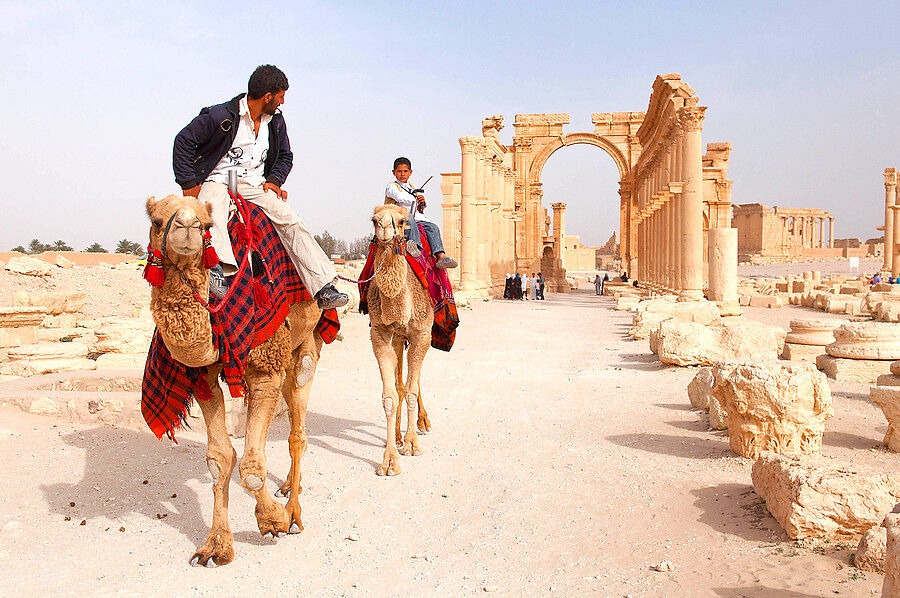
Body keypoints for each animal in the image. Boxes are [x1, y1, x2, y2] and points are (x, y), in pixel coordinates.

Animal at [146, 196, 328, 568]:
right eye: (156, 221)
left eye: (206, 225)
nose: (186, 225)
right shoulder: (203, 377)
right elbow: (219, 460)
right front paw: (216, 546)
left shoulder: (265, 365)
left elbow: (252, 468)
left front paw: (274, 520)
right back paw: (290, 488)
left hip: (305, 342)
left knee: (298, 425)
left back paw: (294, 511)